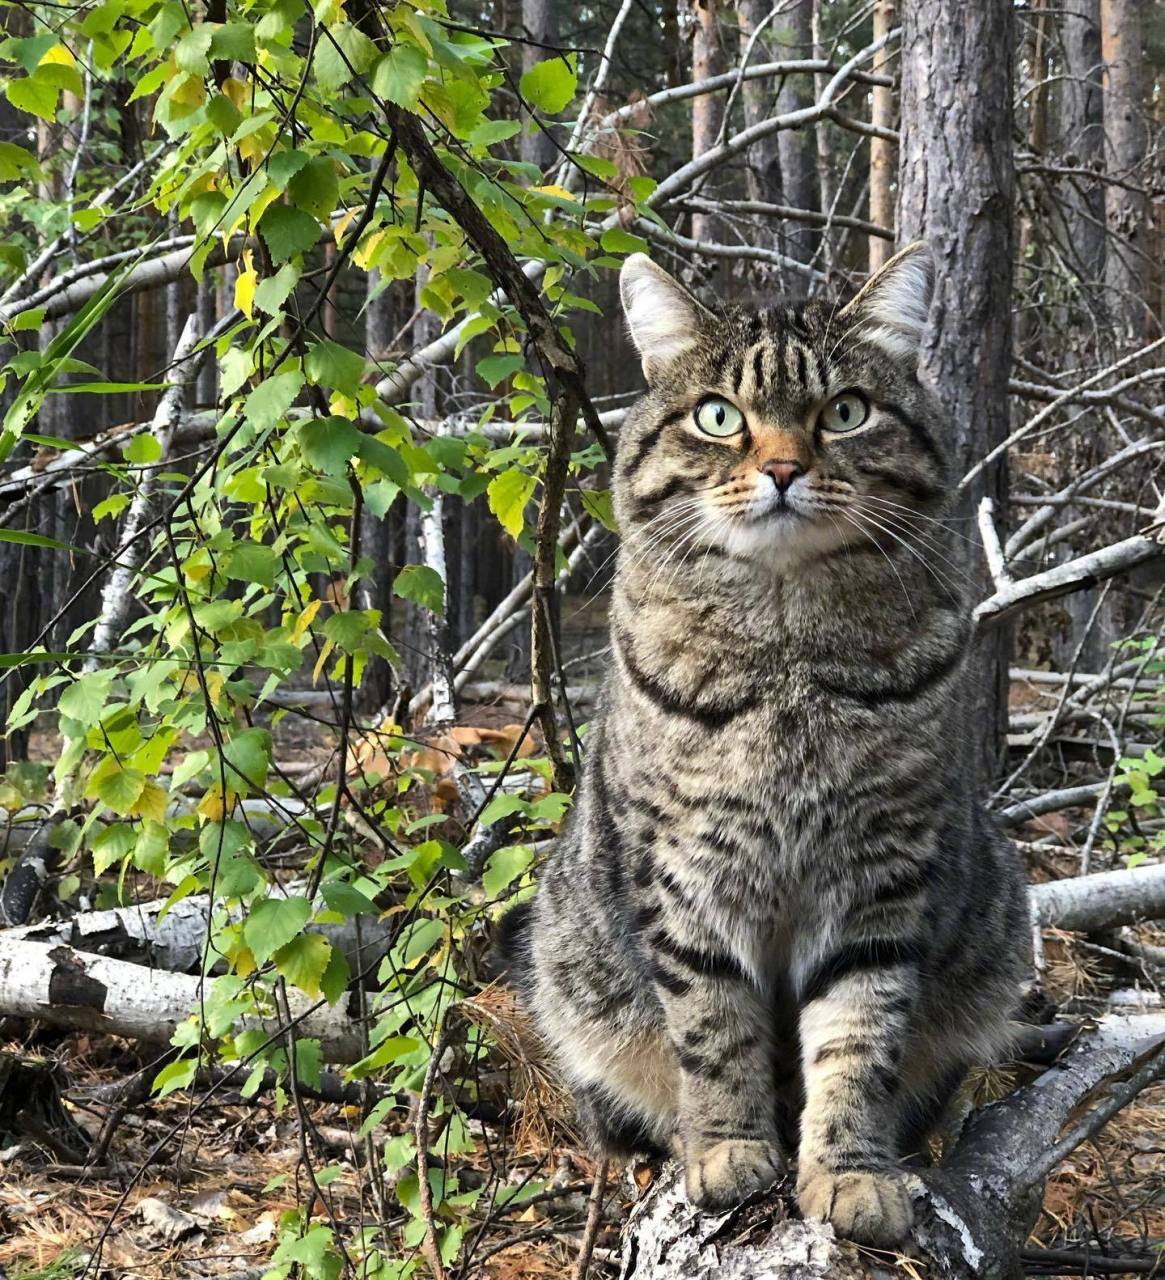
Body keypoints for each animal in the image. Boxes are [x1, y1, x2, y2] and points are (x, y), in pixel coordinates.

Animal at [501, 241, 1029, 1249]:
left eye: (845, 411)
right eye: (719, 417)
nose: (783, 468)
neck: (785, 655)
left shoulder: (882, 873)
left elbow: (858, 1036)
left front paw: (850, 1172)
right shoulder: (685, 875)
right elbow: (713, 1029)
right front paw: (726, 1150)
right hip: (568, 973)